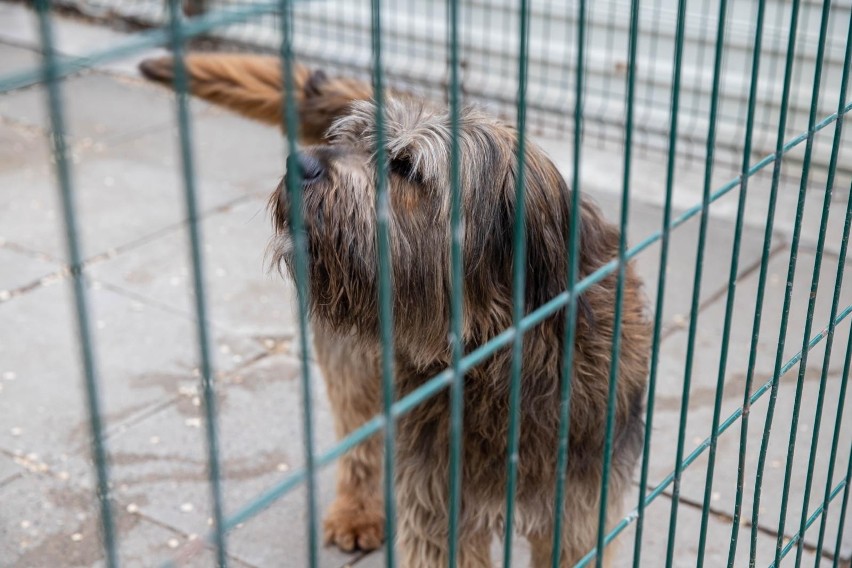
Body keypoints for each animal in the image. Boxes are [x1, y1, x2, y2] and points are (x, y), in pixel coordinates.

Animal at [141, 52, 652, 564]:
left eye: (406, 168)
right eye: (345, 140)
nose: (298, 163)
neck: (499, 355)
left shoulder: (581, 508)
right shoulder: (440, 505)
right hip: (356, 367)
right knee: (360, 438)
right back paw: (357, 512)